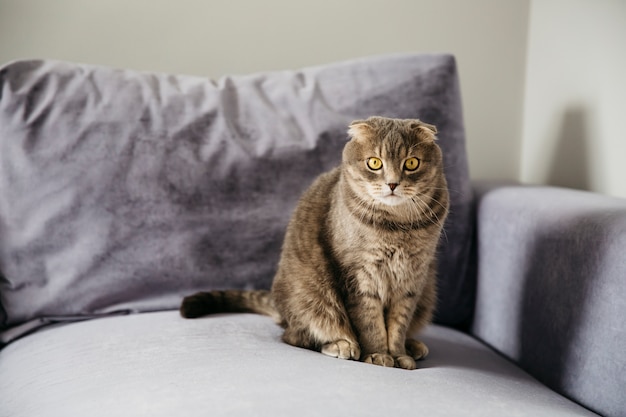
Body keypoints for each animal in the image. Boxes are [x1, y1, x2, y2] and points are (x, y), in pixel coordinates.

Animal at [180, 115, 448, 368]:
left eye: (411, 163)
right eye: (374, 163)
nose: (392, 184)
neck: (397, 227)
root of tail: (281, 309)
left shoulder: (413, 279)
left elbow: (399, 324)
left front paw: (399, 354)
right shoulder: (358, 277)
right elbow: (370, 323)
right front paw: (378, 354)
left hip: (427, 293)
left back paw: (413, 345)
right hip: (312, 294)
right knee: (297, 335)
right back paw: (341, 344)